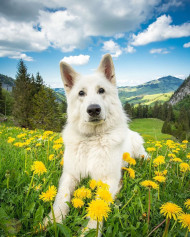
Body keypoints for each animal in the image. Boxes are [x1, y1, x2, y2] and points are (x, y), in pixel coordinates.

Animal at [46, 53, 147, 235]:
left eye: (101, 90)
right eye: (81, 93)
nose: (93, 109)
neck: (92, 139)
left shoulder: (109, 180)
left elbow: (99, 206)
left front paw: (90, 231)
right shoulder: (70, 174)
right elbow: (61, 197)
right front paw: (52, 220)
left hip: (140, 152)